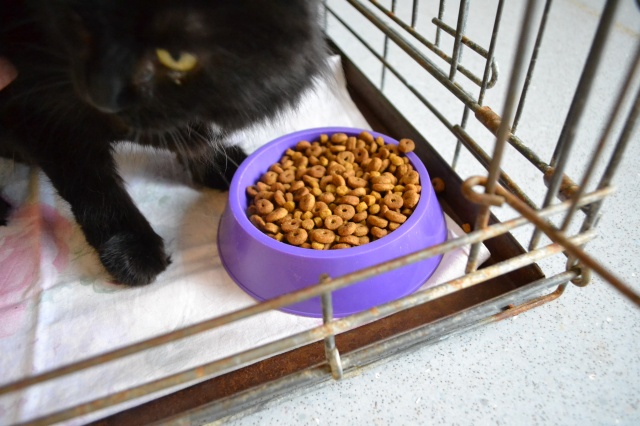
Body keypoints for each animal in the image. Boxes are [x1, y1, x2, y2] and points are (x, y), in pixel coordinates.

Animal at [0, 0, 327, 285]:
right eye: (80, 20)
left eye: (177, 57)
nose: (103, 94)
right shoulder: (42, 107)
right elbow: (93, 186)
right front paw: (132, 249)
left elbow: (187, 132)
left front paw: (223, 164)